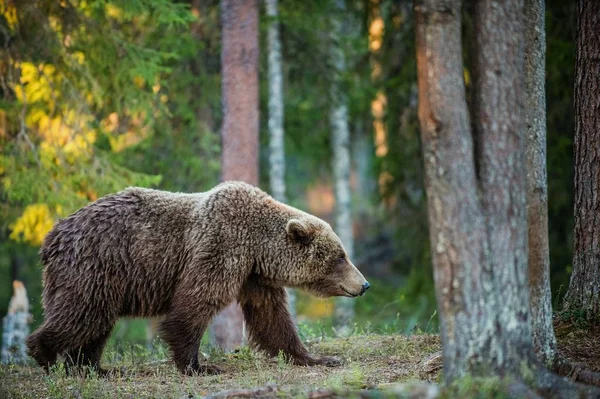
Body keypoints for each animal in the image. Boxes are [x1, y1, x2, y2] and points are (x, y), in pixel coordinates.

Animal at [27, 183, 370, 376]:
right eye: (340, 255)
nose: (364, 284)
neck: (257, 246)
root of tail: (52, 236)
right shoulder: (220, 246)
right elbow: (197, 302)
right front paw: (201, 366)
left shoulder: (253, 275)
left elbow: (271, 317)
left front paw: (317, 357)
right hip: (96, 265)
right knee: (82, 313)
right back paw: (43, 354)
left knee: (95, 323)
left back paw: (95, 368)